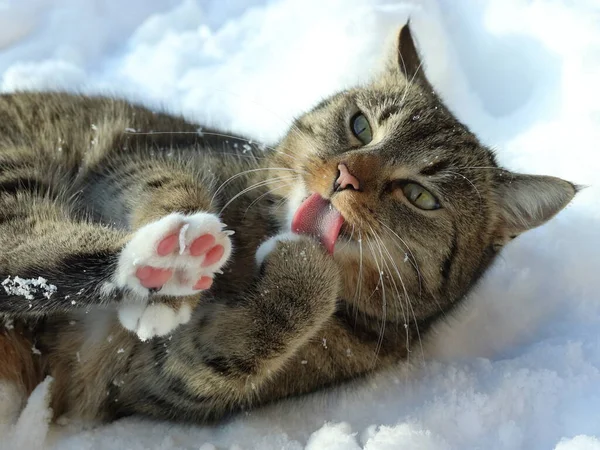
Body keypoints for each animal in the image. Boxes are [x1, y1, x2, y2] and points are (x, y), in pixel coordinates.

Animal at [0, 25, 576, 426]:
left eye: (419, 196)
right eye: (360, 125)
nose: (345, 175)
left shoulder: (144, 380)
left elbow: (239, 349)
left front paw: (303, 269)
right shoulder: (141, 153)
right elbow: (170, 183)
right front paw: (186, 244)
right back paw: (165, 257)